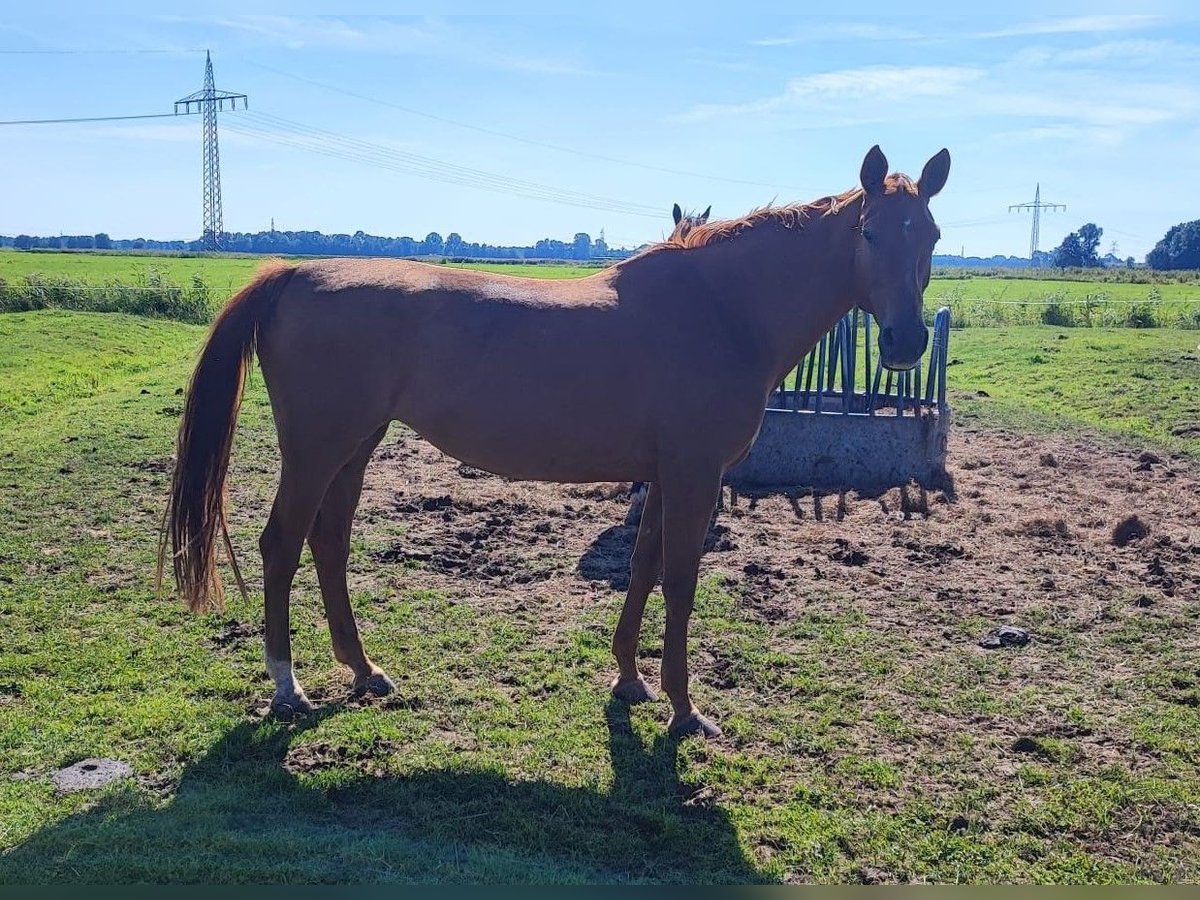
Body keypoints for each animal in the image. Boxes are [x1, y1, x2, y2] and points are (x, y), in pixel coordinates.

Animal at [162, 146, 945, 739]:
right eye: (871, 232)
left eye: (931, 236)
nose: (906, 343)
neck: (721, 309)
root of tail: (292, 274)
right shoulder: (695, 474)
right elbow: (681, 582)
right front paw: (684, 710)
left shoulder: (665, 474)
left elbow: (643, 567)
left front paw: (630, 679)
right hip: (318, 449)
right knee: (282, 544)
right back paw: (288, 687)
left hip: (355, 447)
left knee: (328, 544)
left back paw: (363, 669)